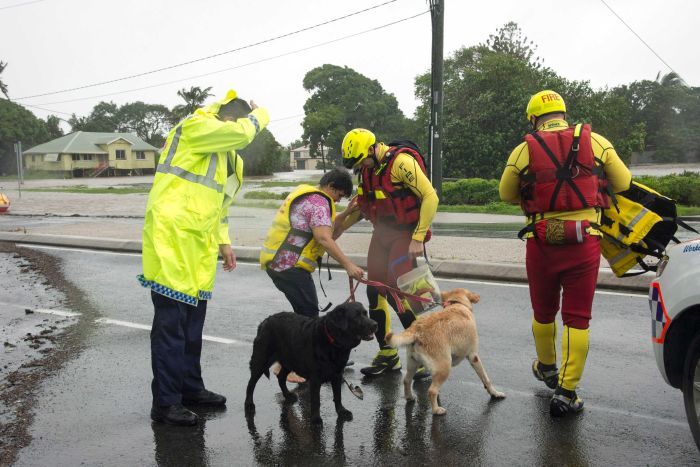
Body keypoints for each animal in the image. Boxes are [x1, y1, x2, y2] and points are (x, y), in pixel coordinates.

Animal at [246, 302, 378, 426]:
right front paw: (316, 419)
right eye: (356, 316)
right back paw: (249, 404)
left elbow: (338, 396)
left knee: (281, 377)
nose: (375, 324)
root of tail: (265, 321)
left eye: (365, 313)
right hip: (261, 360)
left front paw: (341, 411)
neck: (333, 342)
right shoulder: (315, 378)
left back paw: (287, 395)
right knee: (251, 384)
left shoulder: (337, 374)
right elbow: (316, 400)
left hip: (290, 360)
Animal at [386, 288, 506, 416]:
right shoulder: (474, 356)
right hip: (444, 368)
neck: (457, 303)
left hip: (413, 364)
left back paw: (409, 397)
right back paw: (436, 410)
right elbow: (486, 379)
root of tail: (416, 329)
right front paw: (495, 393)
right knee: (431, 390)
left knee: (407, 380)